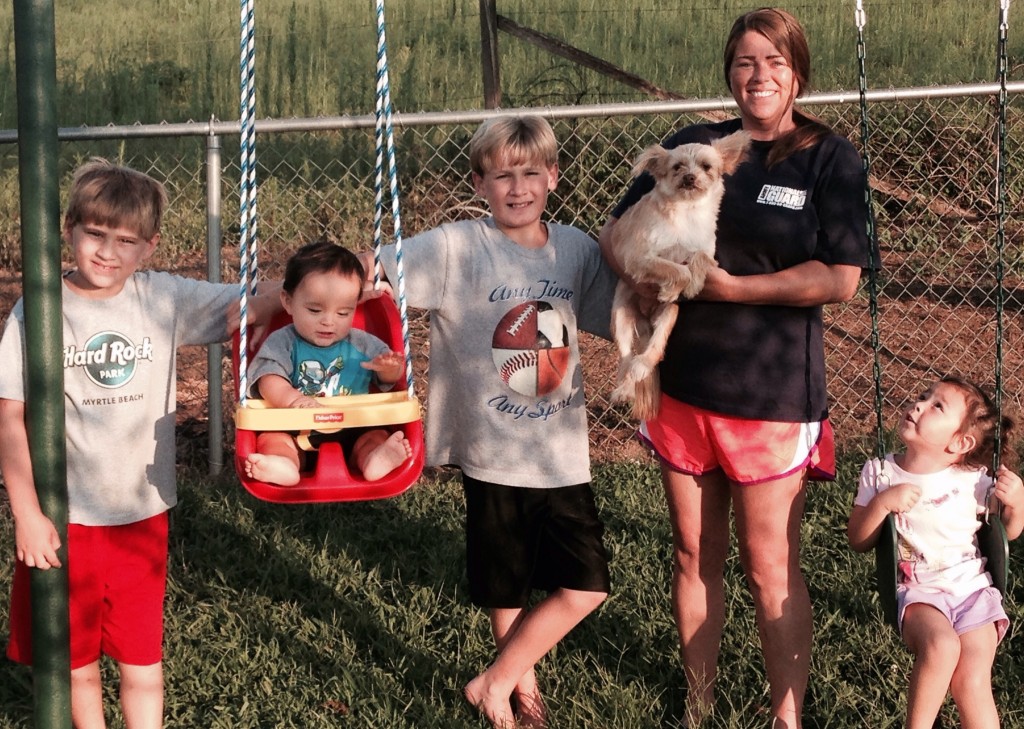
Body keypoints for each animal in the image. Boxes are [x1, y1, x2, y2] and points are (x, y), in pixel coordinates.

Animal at [606, 127, 753, 417]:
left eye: (707, 166)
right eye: (677, 167)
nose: (689, 177)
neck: (688, 212)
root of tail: (645, 318)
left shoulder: (707, 253)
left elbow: (698, 258)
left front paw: (693, 282)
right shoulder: (638, 258)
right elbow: (674, 269)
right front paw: (675, 286)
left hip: (669, 316)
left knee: (654, 350)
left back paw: (643, 363)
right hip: (620, 318)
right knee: (625, 359)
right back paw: (625, 389)